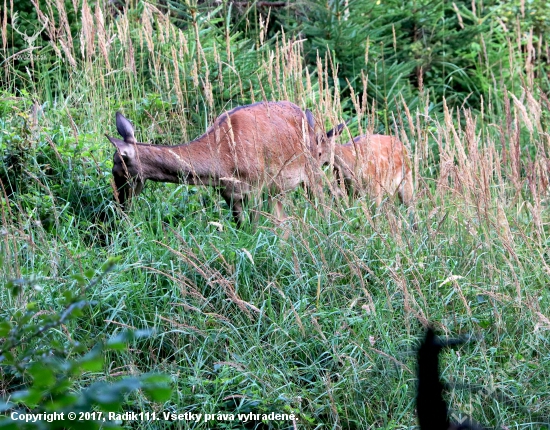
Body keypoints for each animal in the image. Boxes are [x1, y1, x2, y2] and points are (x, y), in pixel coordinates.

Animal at [105, 102, 342, 227]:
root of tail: (308, 118)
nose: (120, 207)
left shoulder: (256, 187)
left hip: (312, 169)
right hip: (278, 188)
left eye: (118, 172)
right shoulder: (229, 193)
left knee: (323, 203)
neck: (222, 161)